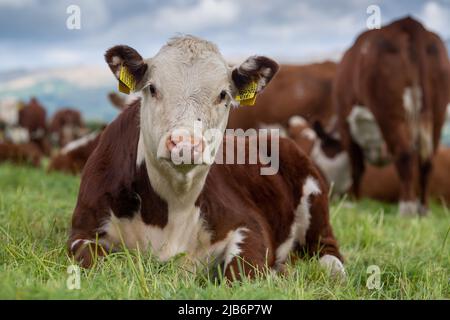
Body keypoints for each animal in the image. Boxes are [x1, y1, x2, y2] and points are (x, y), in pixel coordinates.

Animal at [68, 35, 344, 280]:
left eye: (223, 95)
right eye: (152, 88)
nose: (185, 144)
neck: (173, 205)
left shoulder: (249, 224)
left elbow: (243, 273)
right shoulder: (83, 230)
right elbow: (94, 261)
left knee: (328, 250)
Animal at [332, 18, 450, 218]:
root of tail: (409, 23)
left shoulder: (345, 123)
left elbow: (356, 167)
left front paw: (353, 202)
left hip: (388, 113)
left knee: (405, 155)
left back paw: (406, 208)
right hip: (438, 113)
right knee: (427, 161)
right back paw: (423, 209)